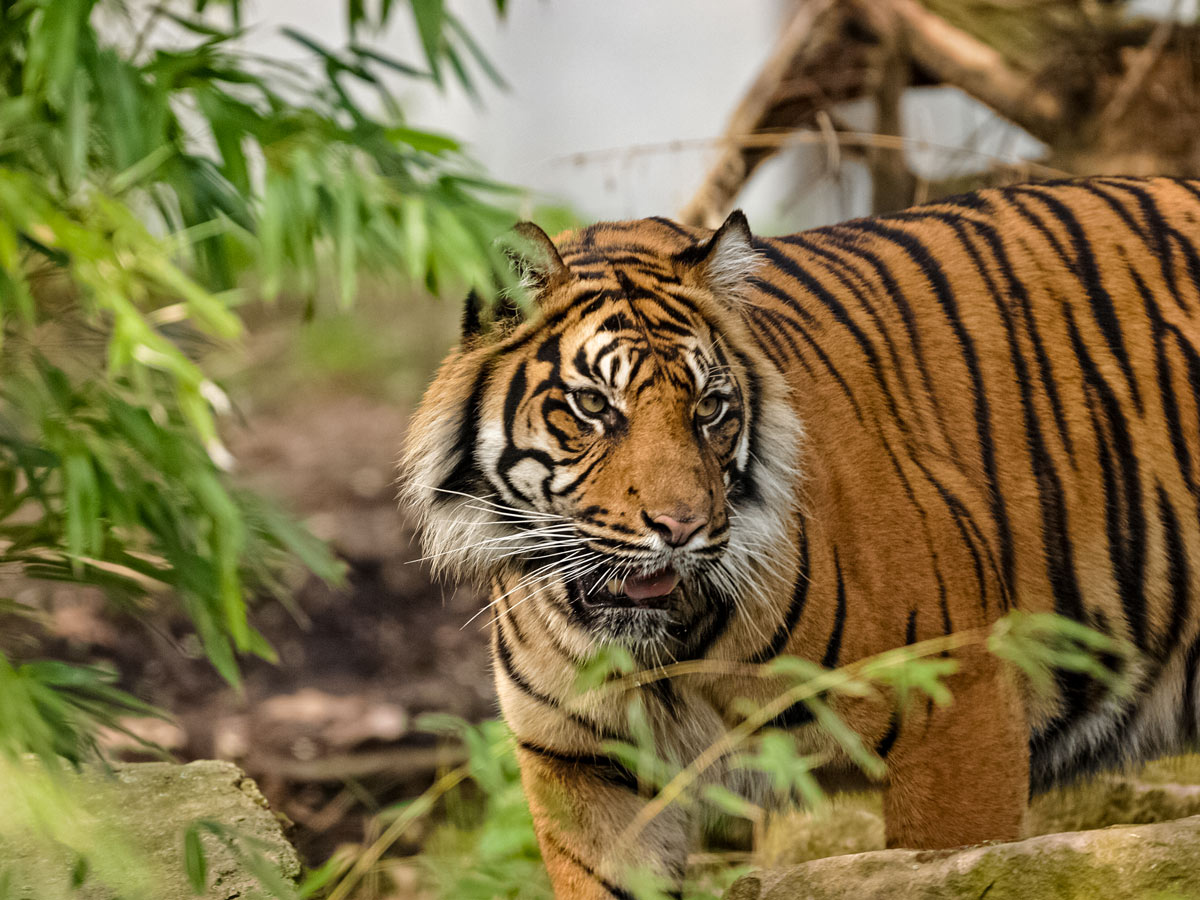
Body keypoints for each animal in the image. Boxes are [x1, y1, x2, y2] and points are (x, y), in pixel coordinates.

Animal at [405, 177, 1200, 900]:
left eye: (710, 408)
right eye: (594, 405)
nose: (680, 528)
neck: (664, 652)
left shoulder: (955, 705)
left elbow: (966, 871)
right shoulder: (584, 769)